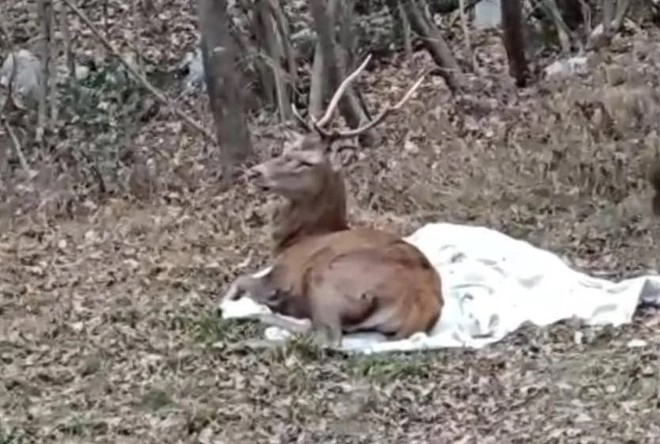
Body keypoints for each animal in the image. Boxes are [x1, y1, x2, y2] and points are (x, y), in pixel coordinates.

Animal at [220, 54, 443, 347]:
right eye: (287, 148)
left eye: (305, 162)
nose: (256, 172)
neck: (296, 239)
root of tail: (419, 308)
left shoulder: (279, 273)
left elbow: (240, 280)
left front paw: (228, 305)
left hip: (327, 277)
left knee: (325, 336)